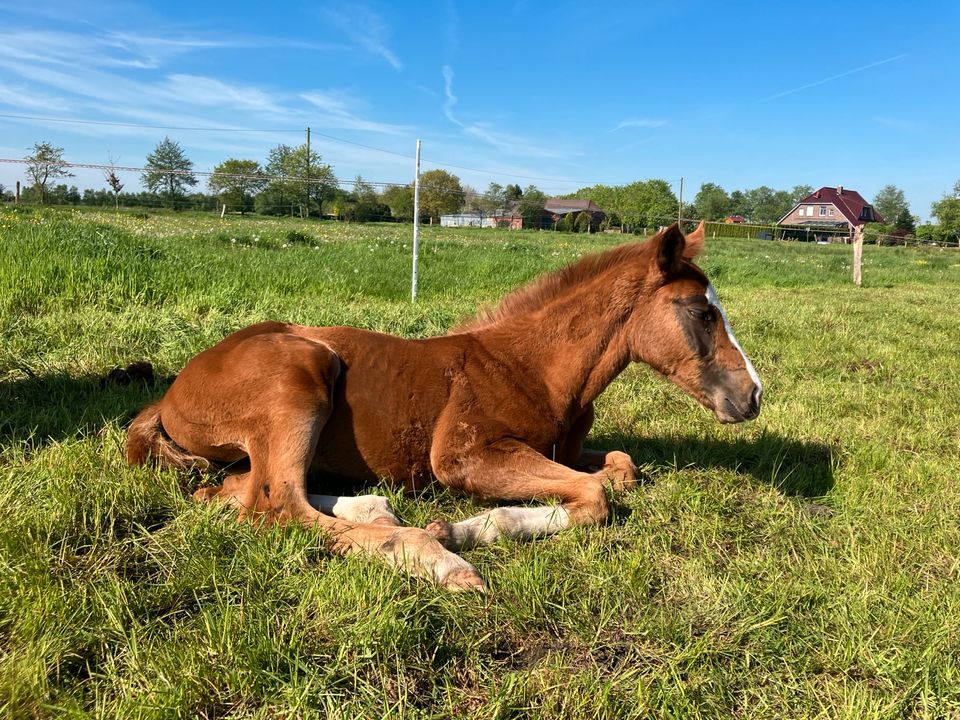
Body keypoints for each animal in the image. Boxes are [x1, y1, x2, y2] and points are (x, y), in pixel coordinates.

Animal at [127, 224, 760, 592]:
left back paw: (380, 510)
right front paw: (460, 531)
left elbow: (621, 469)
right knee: (277, 504)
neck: (534, 368)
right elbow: (596, 496)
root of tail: (171, 389)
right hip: (300, 378)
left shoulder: (567, 448)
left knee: (239, 491)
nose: (753, 396)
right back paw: (432, 556)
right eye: (702, 313)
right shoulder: (464, 456)